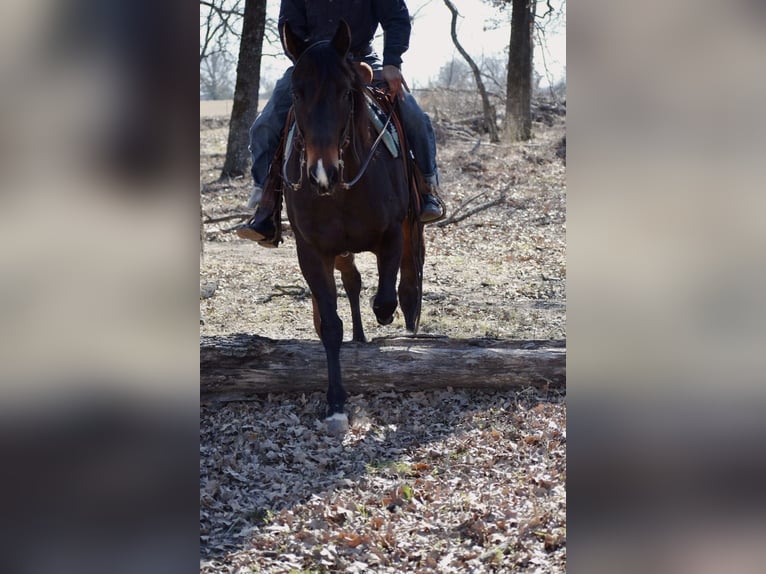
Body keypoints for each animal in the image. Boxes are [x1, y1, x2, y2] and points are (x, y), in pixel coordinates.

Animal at [280, 20, 424, 432]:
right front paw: (336, 403)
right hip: (339, 253)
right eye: (296, 91)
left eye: (346, 92)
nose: (321, 173)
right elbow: (331, 325)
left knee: (406, 272)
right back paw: (358, 337)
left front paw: (394, 312)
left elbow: (386, 297)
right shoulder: (312, 252)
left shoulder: (391, 234)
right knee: (353, 283)